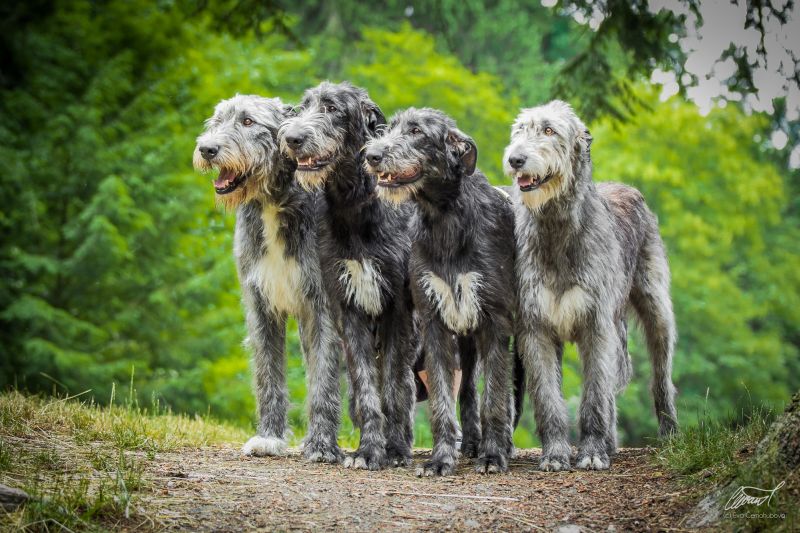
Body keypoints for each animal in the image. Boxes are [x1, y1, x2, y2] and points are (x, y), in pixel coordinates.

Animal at [196, 94, 344, 462]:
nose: (206, 149)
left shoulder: (322, 307)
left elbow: (322, 378)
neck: (273, 203)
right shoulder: (258, 304)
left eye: (248, 121)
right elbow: (267, 373)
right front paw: (270, 438)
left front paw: (321, 445)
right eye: (216, 121)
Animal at [276, 81, 416, 468]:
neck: (355, 205)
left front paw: (394, 451)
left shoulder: (397, 311)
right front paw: (369, 450)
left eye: (333, 109)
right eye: (303, 107)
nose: (291, 138)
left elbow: (394, 387)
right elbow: (367, 389)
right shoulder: (348, 309)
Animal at [364, 107, 516, 474]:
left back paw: (497, 445)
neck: (445, 217)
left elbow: (495, 398)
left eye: (416, 132)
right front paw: (440, 459)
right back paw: (472, 443)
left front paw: (493, 456)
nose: (372, 155)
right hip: (465, 339)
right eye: (390, 128)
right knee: (468, 392)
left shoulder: (495, 323)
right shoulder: (434, 322)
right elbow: (442, 400)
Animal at [506, 100, 676, 470]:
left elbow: (596, 394)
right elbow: (548, 397)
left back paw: (669, 432)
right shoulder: (535, 327)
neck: (556, 230)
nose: (515, 159)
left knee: (661, 376)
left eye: (549, 130)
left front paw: (593, 452)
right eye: (520, 130)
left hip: (655, 306)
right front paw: (556, 453)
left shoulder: (597, 325)